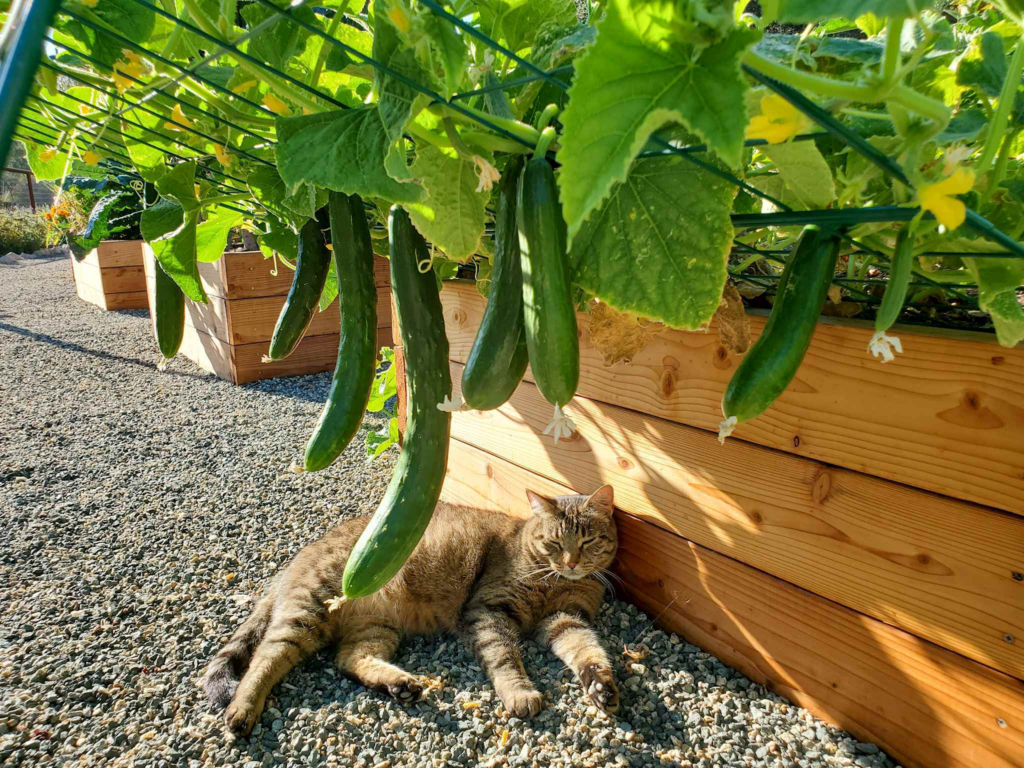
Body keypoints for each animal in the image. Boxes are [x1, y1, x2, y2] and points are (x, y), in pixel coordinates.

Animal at [199, 483, 614, 737]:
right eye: (554, 543)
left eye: (588, 541)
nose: (571, 562)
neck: (555, 579)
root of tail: (298, 557)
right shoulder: (488, 609)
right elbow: (505, 657)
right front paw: (520, 692)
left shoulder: (566, 618)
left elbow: (587, 650)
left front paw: (601, 685)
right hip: (309, 610)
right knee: (265, 657)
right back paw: (242, 708)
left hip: (376, 628)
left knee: (347, 658)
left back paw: (398, 684)